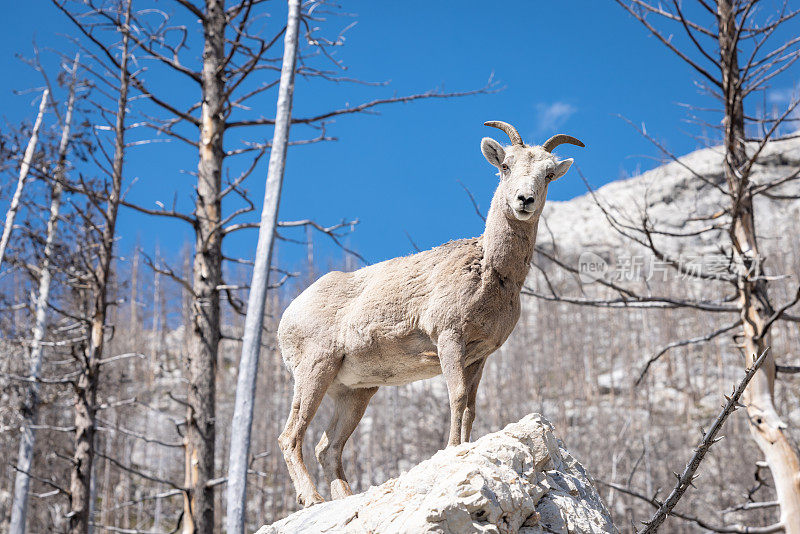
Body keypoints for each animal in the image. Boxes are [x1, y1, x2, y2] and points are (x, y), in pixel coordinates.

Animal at [278, 120, 584, 506]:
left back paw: (345, 496)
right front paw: (452, 449)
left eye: (548, 175)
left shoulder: (479, 356)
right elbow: (456, 397)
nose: (524, 201)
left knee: (327, 446)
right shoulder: (449, 338)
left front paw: (465, 446)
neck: (493, 272)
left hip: (355, 392)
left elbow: (470, 406)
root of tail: (289, 313)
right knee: (290, 436)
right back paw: (313, 499)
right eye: (505, 166)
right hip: (314, 369)